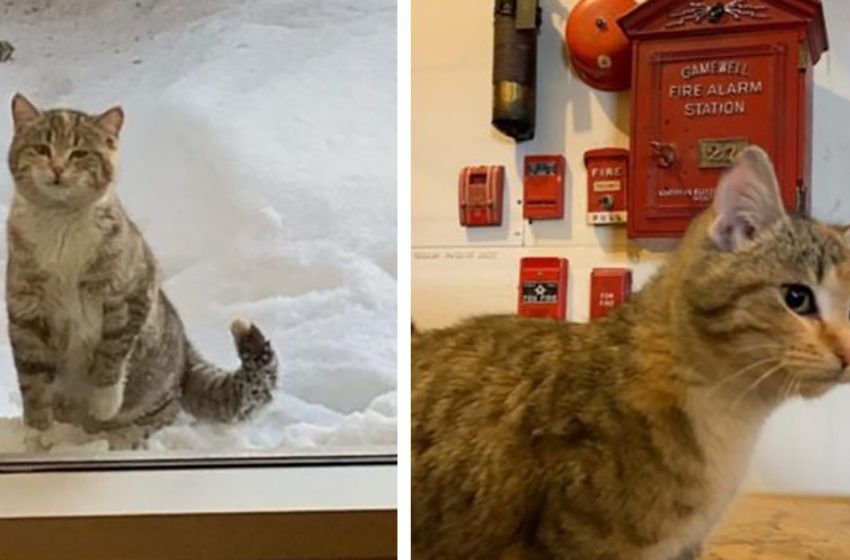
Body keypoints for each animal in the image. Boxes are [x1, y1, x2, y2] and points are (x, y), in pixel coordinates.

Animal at [6, 93, 278, 450]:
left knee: (167, 409)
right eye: (41, 148)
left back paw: (121, 436)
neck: (61, 223)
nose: (58, 168)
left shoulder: (130, 293)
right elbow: (32, 379)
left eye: (80, 153)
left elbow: (111, 354)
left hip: (156, 389)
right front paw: (39, 433)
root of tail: (186, 354)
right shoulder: (26, 311)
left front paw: (104, 402)